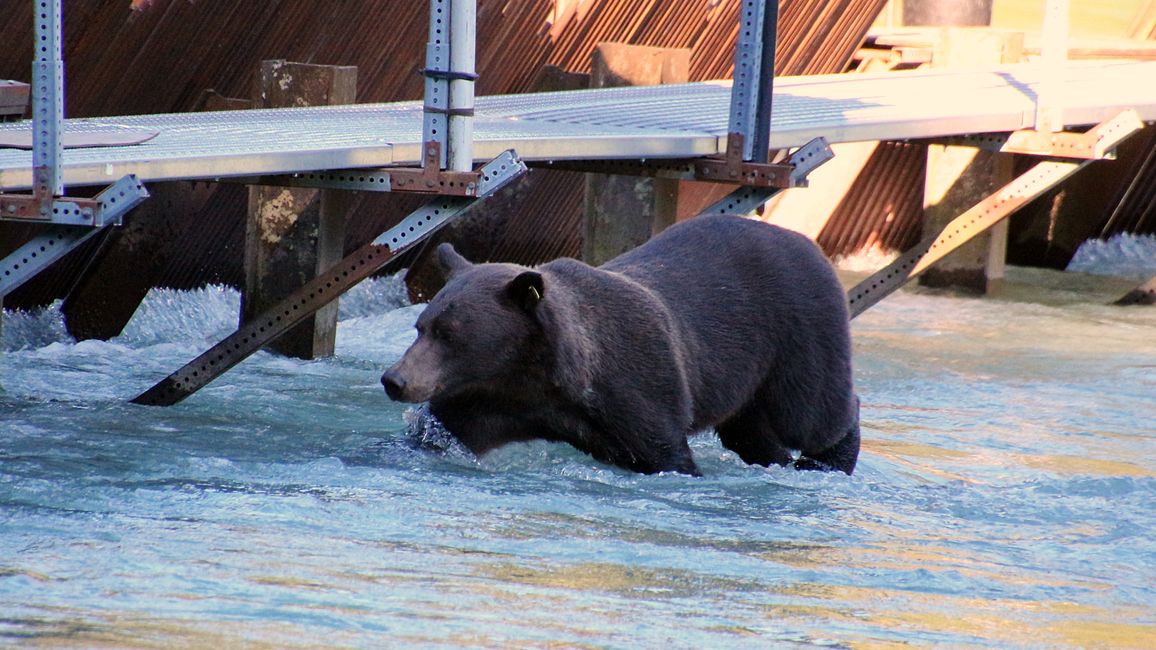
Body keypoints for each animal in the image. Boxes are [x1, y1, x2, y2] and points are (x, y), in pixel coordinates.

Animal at [383, 215, 864, 474]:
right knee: (751, 429)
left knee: (810, 411)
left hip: (798, 324)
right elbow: (440, 432)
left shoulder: (639, 383)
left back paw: (827, 461)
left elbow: (666, 451)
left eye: (449, 333)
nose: (395, 379)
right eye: (420, 326)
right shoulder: (490, 401)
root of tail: (807, 242)